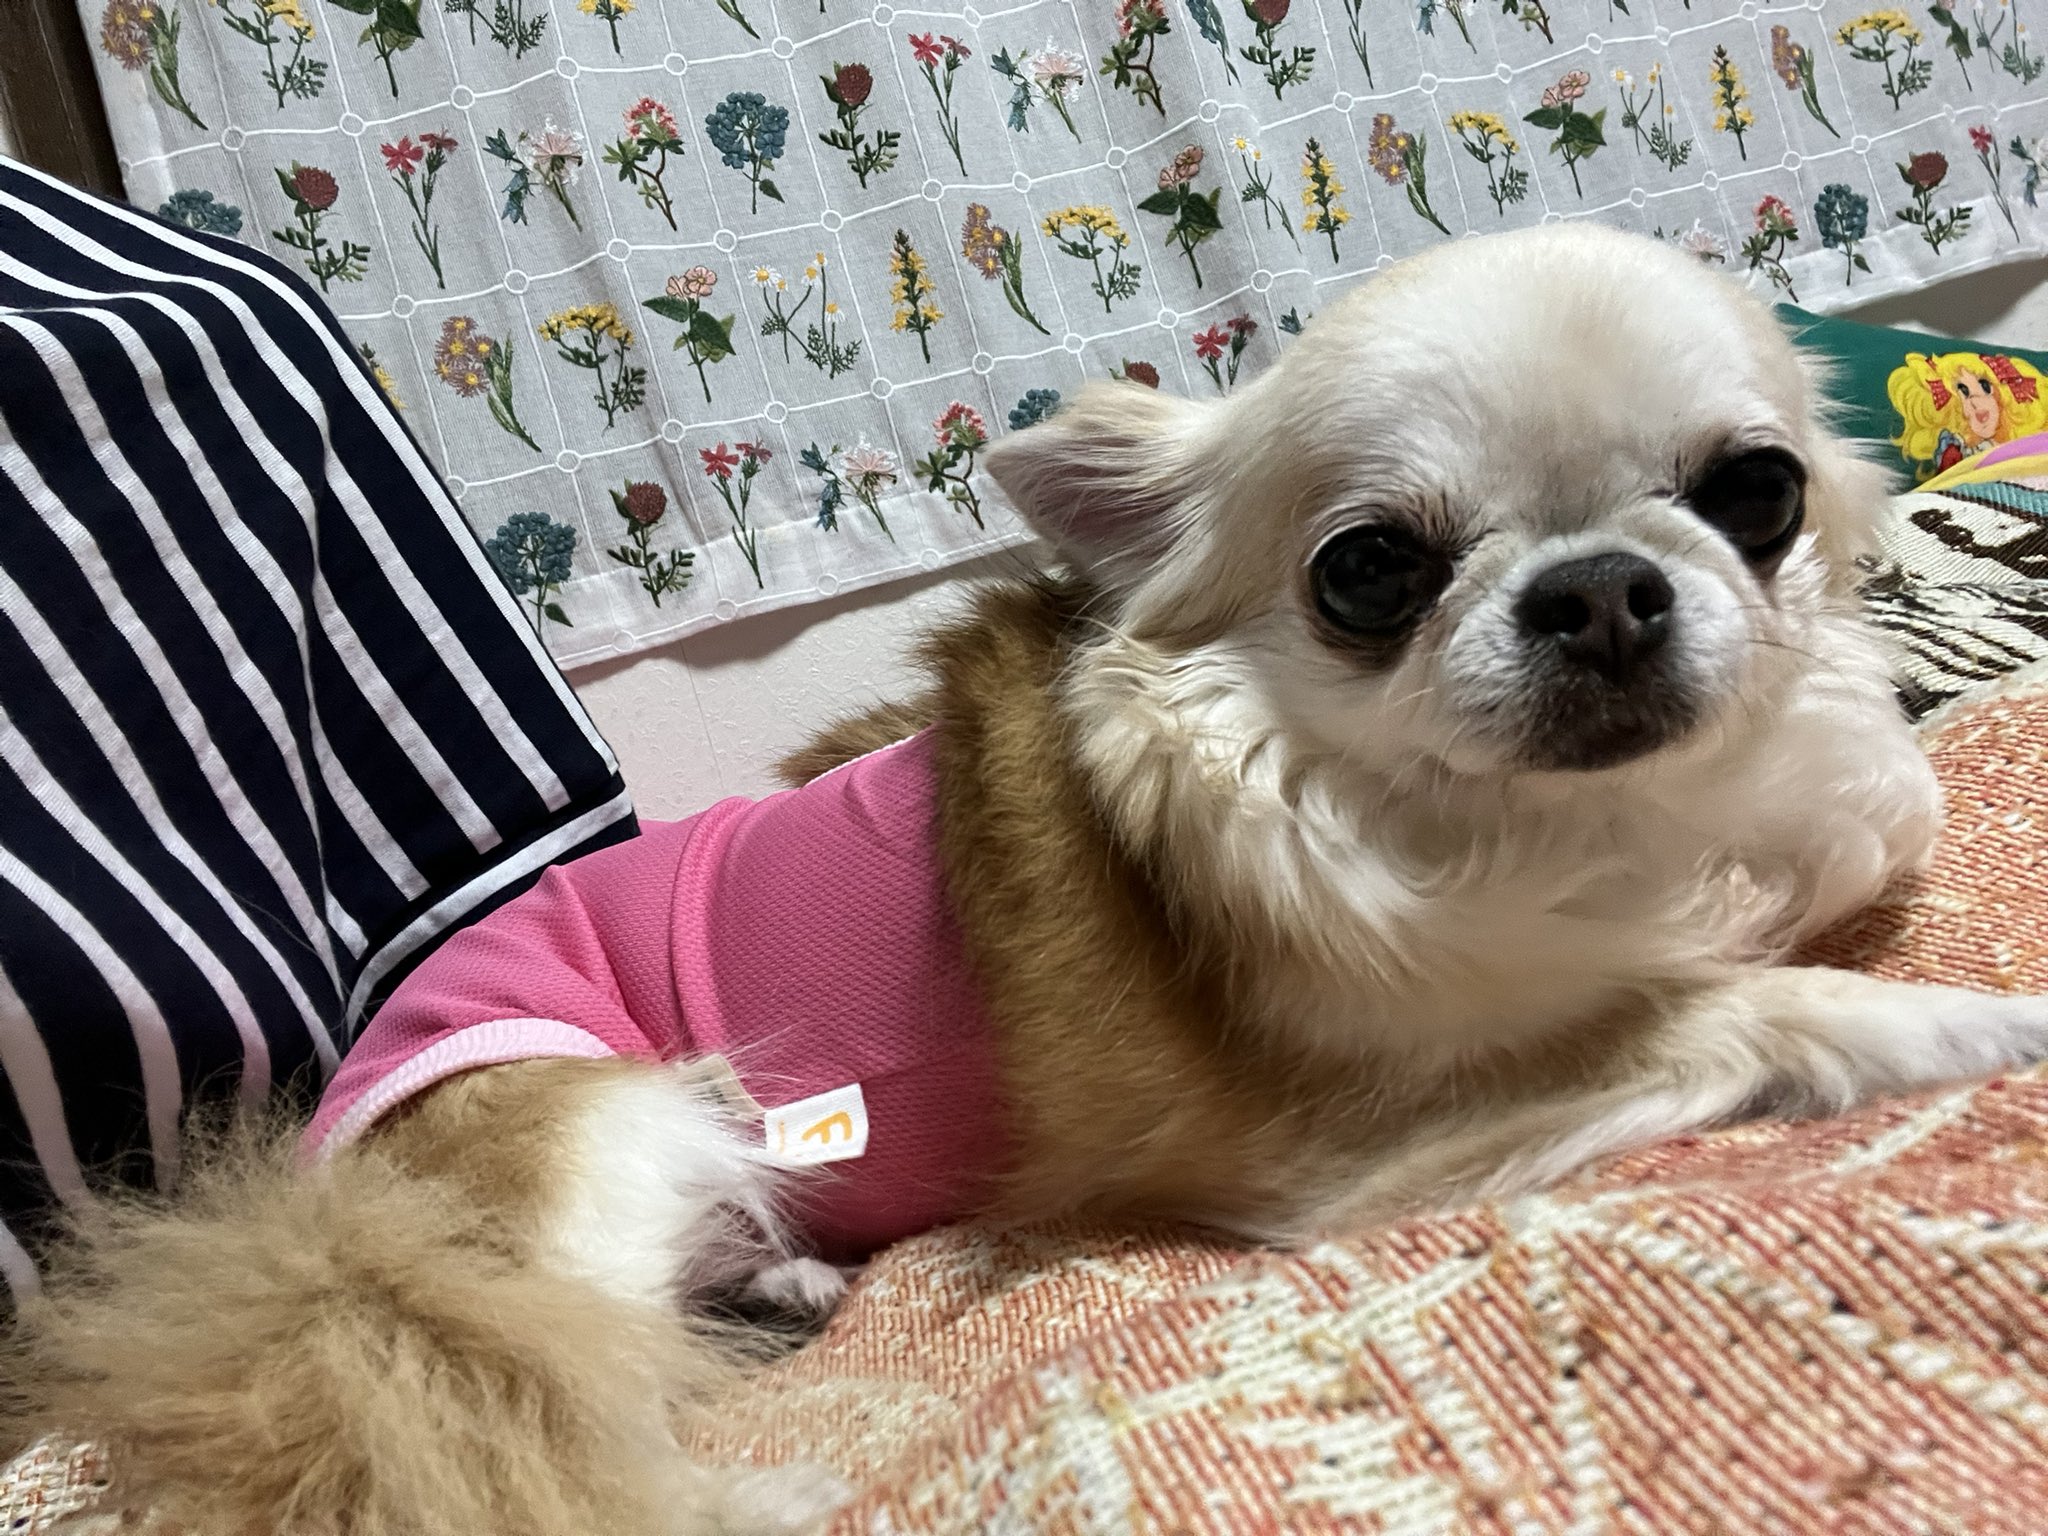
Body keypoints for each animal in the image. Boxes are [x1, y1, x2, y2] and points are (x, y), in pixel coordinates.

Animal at [10, 223, 2048, 1536]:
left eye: (1755, 492)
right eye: (1368, 571)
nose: (1602, 590)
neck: (1541, 828)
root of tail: (314, 1202)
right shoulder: (1342, 1139)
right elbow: (1728, 1002)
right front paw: (1966, 1022)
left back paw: (780, 1288)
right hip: (600, 1128)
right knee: (549, 1407)